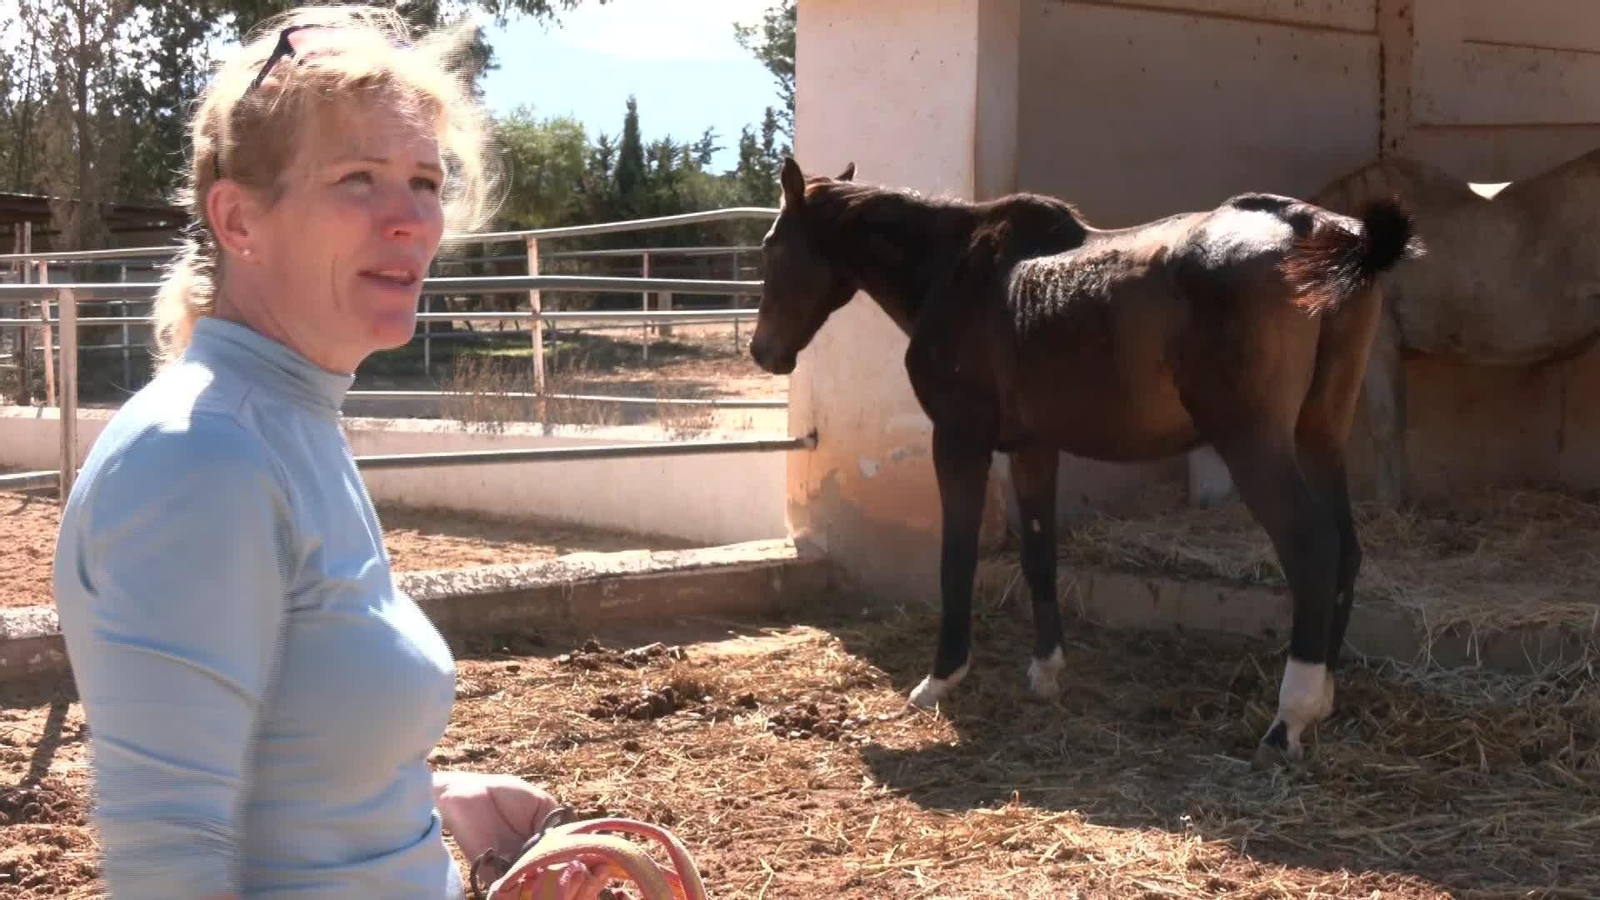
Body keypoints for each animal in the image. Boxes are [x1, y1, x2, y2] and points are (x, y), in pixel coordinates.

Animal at [749, 157, 1423, 766]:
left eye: (769, 246)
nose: (763, 352)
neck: (957, 270)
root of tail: (1317, 226)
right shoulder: (1034, 448)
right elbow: (1039, 553)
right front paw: (1047, 674)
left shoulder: (959, 441)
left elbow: (956, 558)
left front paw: (939, 681)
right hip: (1319, 435)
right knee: (1346, 548)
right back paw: (1324, 701)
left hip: (1255, 443)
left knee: (1312, 550)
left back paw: (1288, 721)